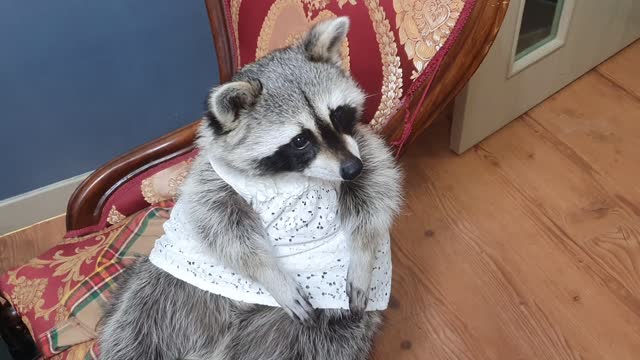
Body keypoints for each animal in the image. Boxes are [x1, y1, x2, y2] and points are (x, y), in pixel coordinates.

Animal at [99, 17, 400, 360]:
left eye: (338, 115)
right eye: (300, 141)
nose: (351, 169)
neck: (291, 175)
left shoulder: (361, 145)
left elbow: (376, 188)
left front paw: (362, 253)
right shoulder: (213, 178)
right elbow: (222, 228)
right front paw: (269, 273)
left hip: (304, 331)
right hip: (165, 293)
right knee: (135, 322)